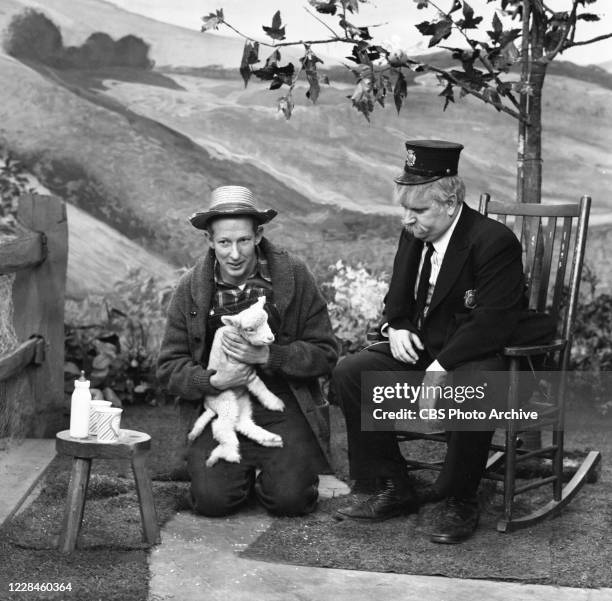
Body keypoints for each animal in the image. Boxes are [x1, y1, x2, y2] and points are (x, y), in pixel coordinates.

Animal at [188, 292, 286, 466]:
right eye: (250, 329)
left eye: (267, 320)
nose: (270, 338)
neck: (234, 330)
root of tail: (208, 405)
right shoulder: (243, 371)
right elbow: (259, 386)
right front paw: (274, 402)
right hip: (225, 400)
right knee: (220, 426)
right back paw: (228, 454)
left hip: (242, 402)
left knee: (242, 424)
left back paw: (270, 439)